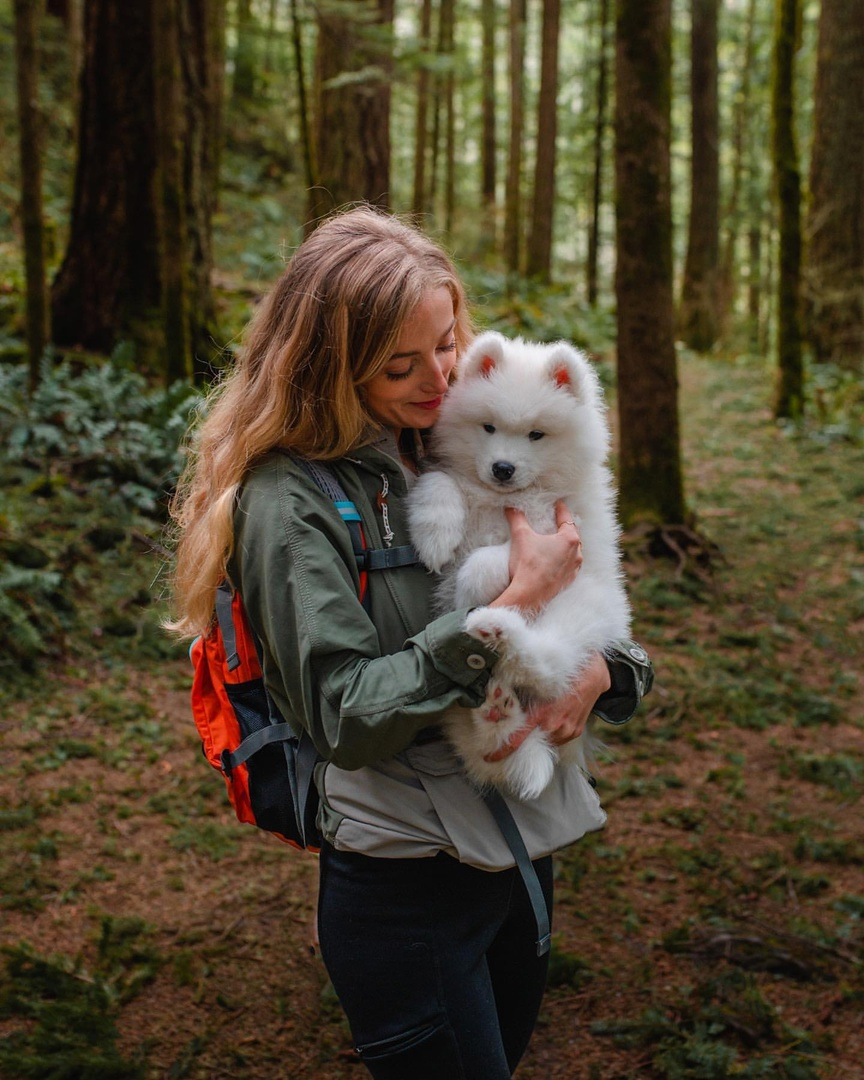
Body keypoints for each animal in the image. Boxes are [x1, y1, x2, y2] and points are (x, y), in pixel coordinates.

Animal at [408, 332, 630, 799]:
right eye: (488, 427)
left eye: (536, 435)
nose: (502, 468)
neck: (501, 499)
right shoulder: (455, 477)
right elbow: (439, 481)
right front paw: (434, 536)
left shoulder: (553, 532)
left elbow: (485, 559)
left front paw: (468, 589)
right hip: (467, 715)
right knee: (490, 752)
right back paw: (497, 715)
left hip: (578, 610)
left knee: (550, 668)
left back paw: (496, 629)